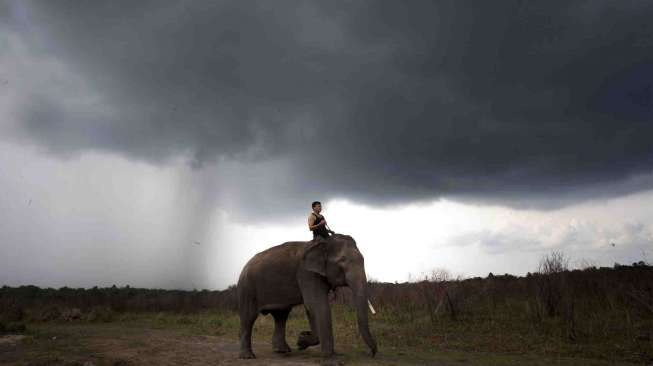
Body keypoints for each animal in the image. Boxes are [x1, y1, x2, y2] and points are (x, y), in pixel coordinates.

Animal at [237, 233, 374, 364]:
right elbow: (316, 305)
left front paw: (301, 340)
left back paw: (282, 351)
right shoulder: (306, 273)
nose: (368, 353)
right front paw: (334, 361)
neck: (324, 242)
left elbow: (312, 308)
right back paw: (247, 356)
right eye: (342, 261)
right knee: (249, 318)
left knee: (281, 316)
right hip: (247, 288)